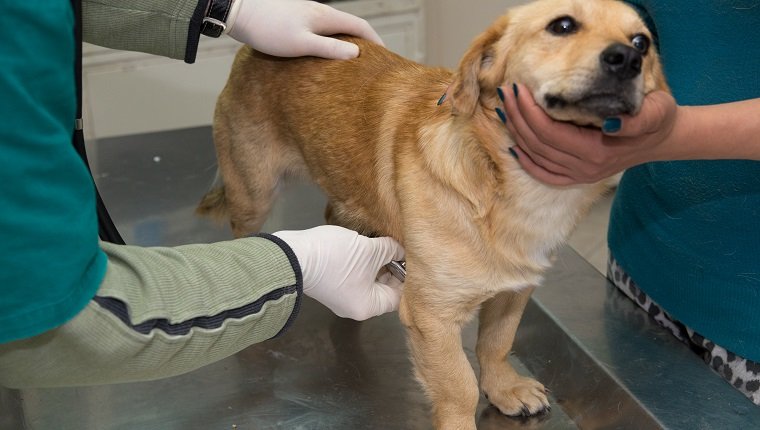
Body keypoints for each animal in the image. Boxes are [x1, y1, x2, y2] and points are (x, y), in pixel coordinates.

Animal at [199, 1, 668, 428]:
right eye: (563, 25)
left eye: (642, 42)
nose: (627, 59)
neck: (511, 189)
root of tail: (249, 52)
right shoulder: (433, 317)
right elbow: (459, 386)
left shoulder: (514, 291)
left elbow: (496, 344)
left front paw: (503, 388)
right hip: (253, 192)